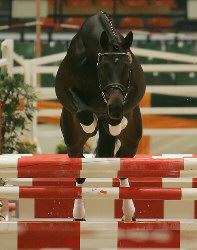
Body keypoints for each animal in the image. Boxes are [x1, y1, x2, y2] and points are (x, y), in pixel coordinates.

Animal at [54, 10, 145, 222]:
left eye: (128, 67)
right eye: (103, 67)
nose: (114, 107)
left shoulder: (133, 90)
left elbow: (119, 116)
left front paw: (115, 123)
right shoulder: (67, 91)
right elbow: (85, 113)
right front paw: (93, 122)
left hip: (132, 141)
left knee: (122, 165)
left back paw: (129, 213)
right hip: (73, 143)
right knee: (80, 171)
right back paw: (79, 214)